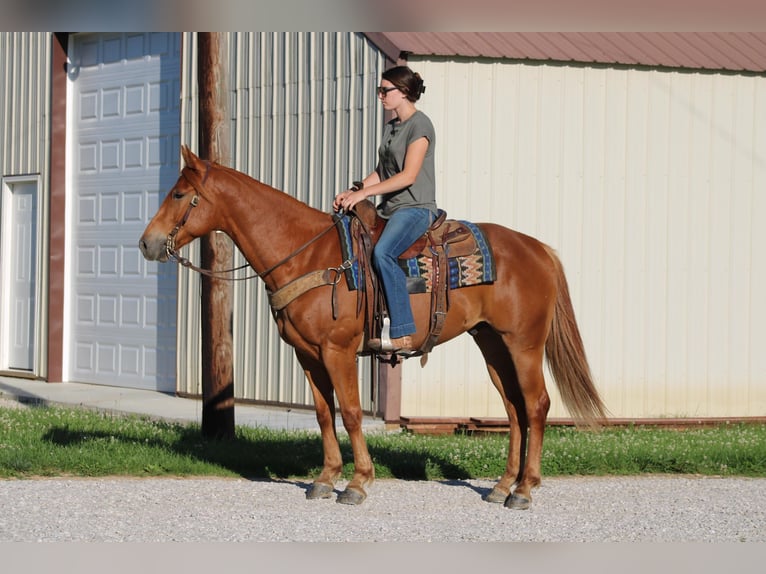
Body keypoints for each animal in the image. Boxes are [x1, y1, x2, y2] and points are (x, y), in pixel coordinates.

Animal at [136, 146, 608, 510]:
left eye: (179, 193)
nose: (146, 243)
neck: (305, 254)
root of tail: (538, 249)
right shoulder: (307, 355)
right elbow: (324, 415)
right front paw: (325, 479)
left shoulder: (338, 351)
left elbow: (350, 412)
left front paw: (358, 482)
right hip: (492, 344)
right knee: (513, 409)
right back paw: (502, 486)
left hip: (524, 344)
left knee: (536, 405)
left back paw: (524, 490)